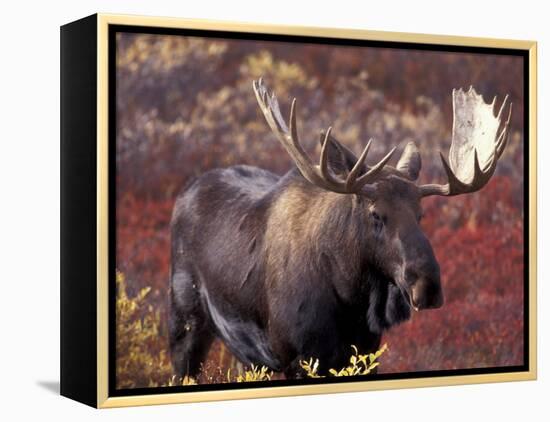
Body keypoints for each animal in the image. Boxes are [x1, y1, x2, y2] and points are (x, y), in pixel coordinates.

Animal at [168, 79, 512, 380]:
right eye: (376, 214)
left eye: (421, 214)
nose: (427, 286)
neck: (351, 298)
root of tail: (185, 192)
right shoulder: (297, 355)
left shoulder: (365, 352)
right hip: (185, 323)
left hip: (248, 356)